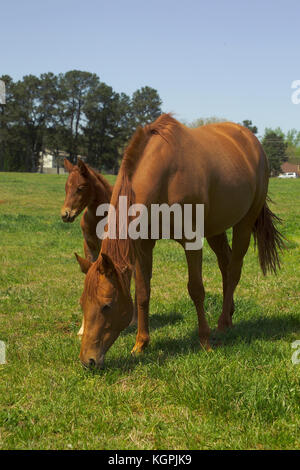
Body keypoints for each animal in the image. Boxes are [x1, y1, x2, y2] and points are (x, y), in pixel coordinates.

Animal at [75, 113, 284, 368]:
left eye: (107, 305)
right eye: (83, 303)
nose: (88, 360)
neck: (164, 175)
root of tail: (253, 142)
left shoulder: (191, 240)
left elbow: (196, 289)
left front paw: (204, 341)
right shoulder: (144, 243)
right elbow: (142, 292)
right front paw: (140, 344)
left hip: (244, 223)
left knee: (234, 270)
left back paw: (223, 324)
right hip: (215, 229)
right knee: (225, 266)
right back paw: (230, 315)